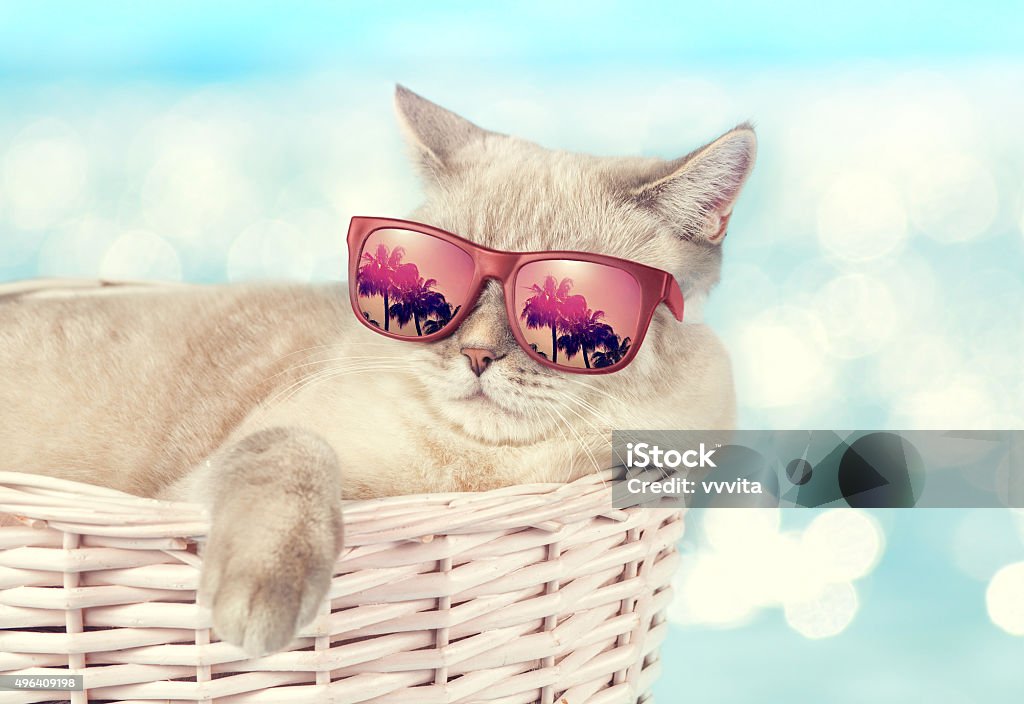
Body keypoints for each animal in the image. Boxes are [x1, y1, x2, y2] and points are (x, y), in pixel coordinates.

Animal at [0, 86, 753, 654]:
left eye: (562, 306)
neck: (474, 473)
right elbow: (294, 452)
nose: (478, 355)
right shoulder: (200, 487)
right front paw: (260, 600)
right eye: (442, 289)